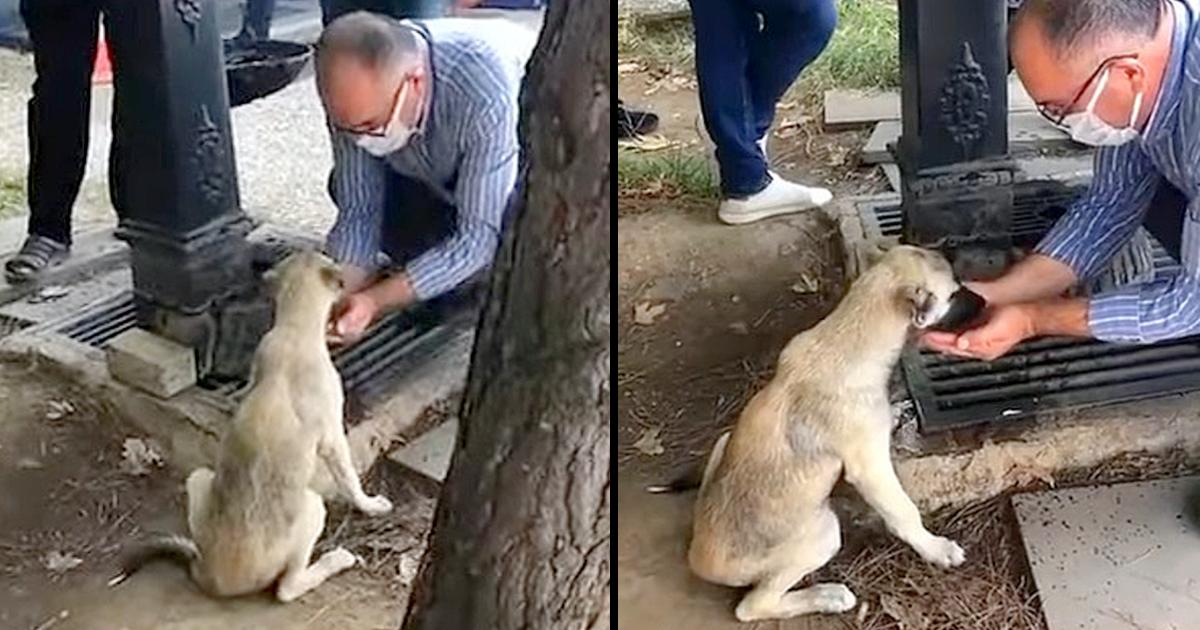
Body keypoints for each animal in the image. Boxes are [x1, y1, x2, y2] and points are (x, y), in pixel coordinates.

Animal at [112, 249, 393, 600]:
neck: (293, 328)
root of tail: (212, 576)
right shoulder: (333, 437)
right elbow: (350, 479)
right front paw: (370, 505)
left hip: (199, 478)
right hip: (313, 508)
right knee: (287, 589)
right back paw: (335, 560)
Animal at [686, 244, 974, 619]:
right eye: (954, 293)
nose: (984, 301)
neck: (846, 338)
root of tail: (698, 559)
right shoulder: (871, 469)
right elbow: (904, 512)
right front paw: (936, 548)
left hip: (724, 441)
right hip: (824, 533)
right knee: (753, 607)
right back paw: (828, 596)